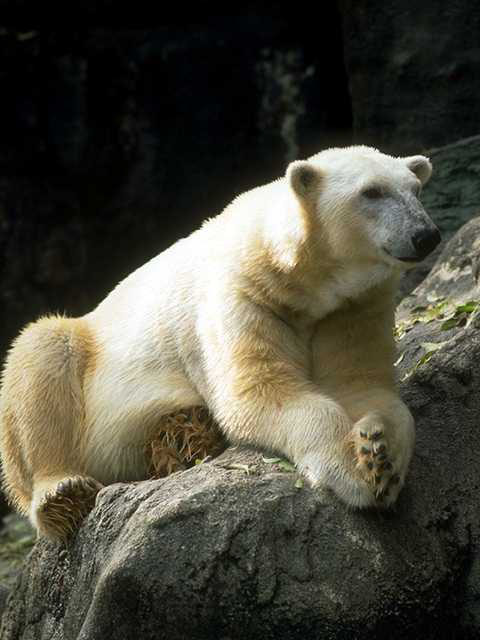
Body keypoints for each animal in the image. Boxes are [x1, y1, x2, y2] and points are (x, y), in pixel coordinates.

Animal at [0, 145, 440, 540]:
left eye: (416, 189)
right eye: (371, 192)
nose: (427, 236)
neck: (300, 279)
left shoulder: (352, 308)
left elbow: (363, 387)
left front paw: (379, 456)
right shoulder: (242, 296)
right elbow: (261, 392)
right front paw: (351, 472)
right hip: (86, 359)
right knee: (43, 354)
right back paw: (63, 493)